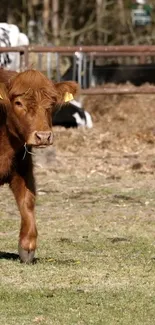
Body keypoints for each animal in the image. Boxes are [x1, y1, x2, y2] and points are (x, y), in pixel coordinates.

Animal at [0, 67, 77, 260]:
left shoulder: (23, 169)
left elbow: (27, 202)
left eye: (51, 103)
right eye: (18, 103)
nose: (43, 136)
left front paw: (27, 246)